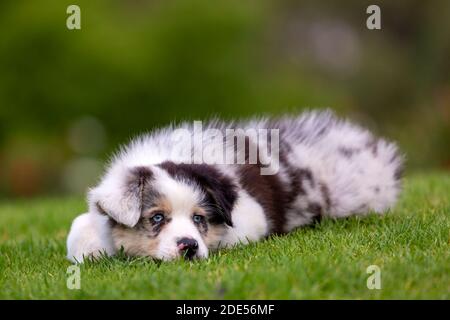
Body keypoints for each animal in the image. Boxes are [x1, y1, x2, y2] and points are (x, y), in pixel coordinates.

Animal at [67, 110, 404, 262]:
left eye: (199, 218)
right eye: (157, 218)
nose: (189, 246)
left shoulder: (252, 214)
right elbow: (79, 229)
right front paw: (93, 250)